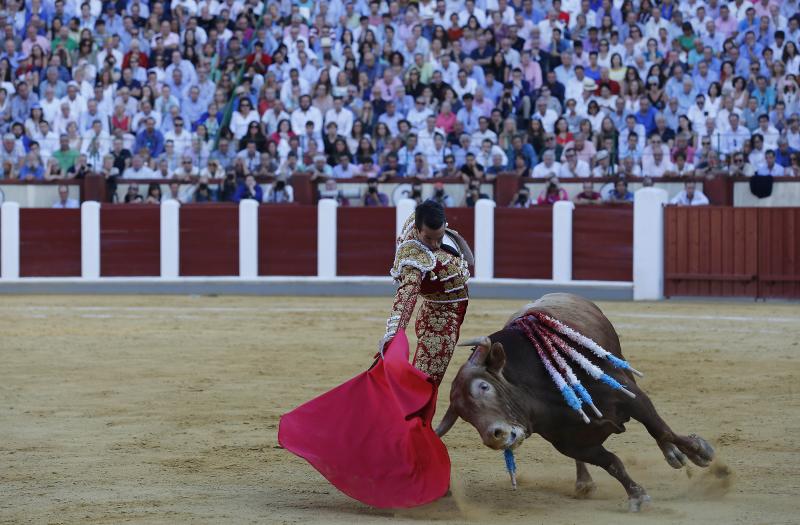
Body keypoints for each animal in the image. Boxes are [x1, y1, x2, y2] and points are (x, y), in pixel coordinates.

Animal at [434, 292, 716, 510]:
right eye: (464, 415)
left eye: (485, 386)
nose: (495, 436)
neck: (541, 388)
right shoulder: (572, 444)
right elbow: (612, 463)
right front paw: (637, 496)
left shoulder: (629, 396)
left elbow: (661, 430)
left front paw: (700, 450)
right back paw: (583, 483)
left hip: (623, 368)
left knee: (659, 429)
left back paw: (674, 454)